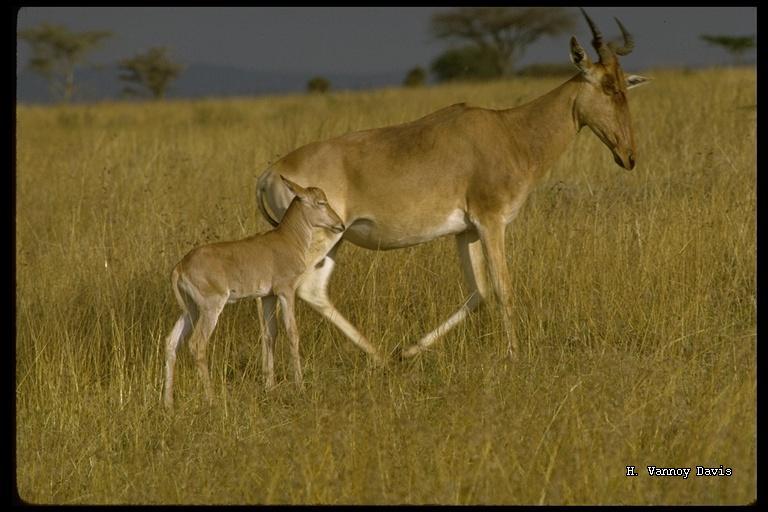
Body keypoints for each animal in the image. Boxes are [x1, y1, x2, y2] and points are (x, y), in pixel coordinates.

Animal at [164, 177, 344, 408]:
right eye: (321, 202)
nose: (340, 224)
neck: (286, 239)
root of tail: (180, 266)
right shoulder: (286, 291)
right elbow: (292, 332)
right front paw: (300, 386)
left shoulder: (267, 296)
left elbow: (269, 334)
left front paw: (270, 386)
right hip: (211, 308)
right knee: (197, 344)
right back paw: (211, 399)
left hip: (192, 310)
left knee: (171, 343)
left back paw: (168, 403)